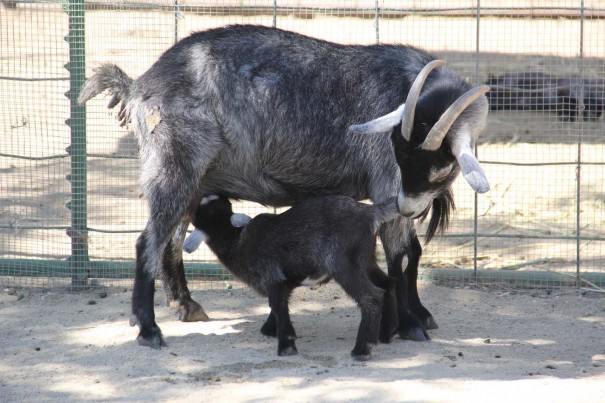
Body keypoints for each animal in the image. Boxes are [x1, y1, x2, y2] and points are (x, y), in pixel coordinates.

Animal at [184, 194, 402, 362]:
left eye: (201, 211)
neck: (237, 239)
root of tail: (370, 213)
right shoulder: (282, 283)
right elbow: (278, 306)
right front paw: (271, 330)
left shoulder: (272, 276)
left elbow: (278, 306)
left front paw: (286, 346)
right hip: (366, 259)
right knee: (388, 284)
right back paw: (385, 334)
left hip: (343, 265)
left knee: (371, 296)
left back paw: (362, 349)